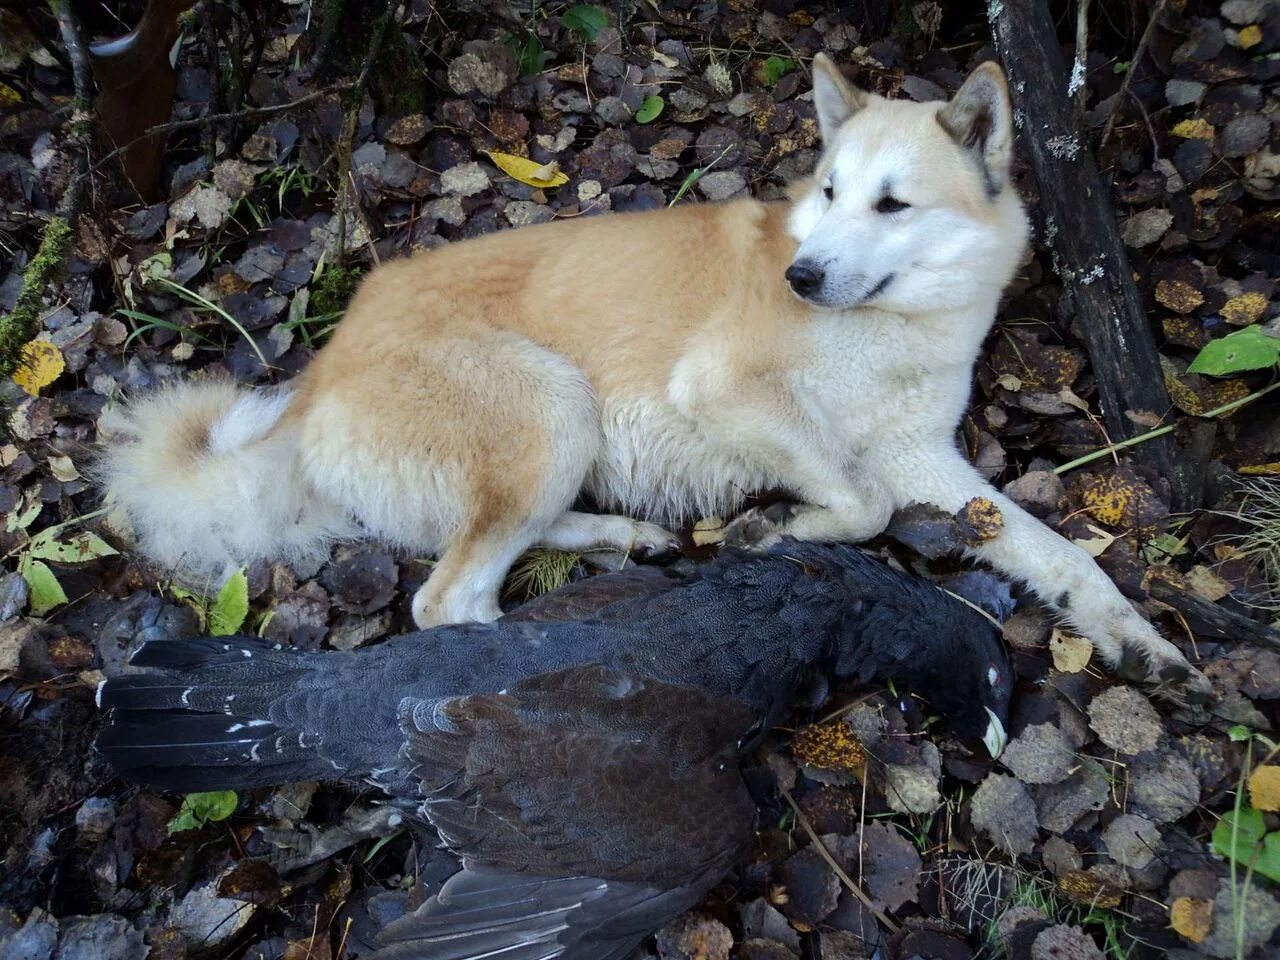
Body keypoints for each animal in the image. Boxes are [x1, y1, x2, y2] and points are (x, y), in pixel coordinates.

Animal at [99, 58, 1208, 701]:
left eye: (890, 205)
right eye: (831, 193)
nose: (800, 277)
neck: (889, 327)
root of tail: (319, 373)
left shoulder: (924, 458)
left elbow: (1062, 559)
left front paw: (1142, 646)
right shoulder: (723, 392)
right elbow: (859, 502)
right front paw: (780, 525)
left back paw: (626, 538)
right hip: (552, 405)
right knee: (450, 601)